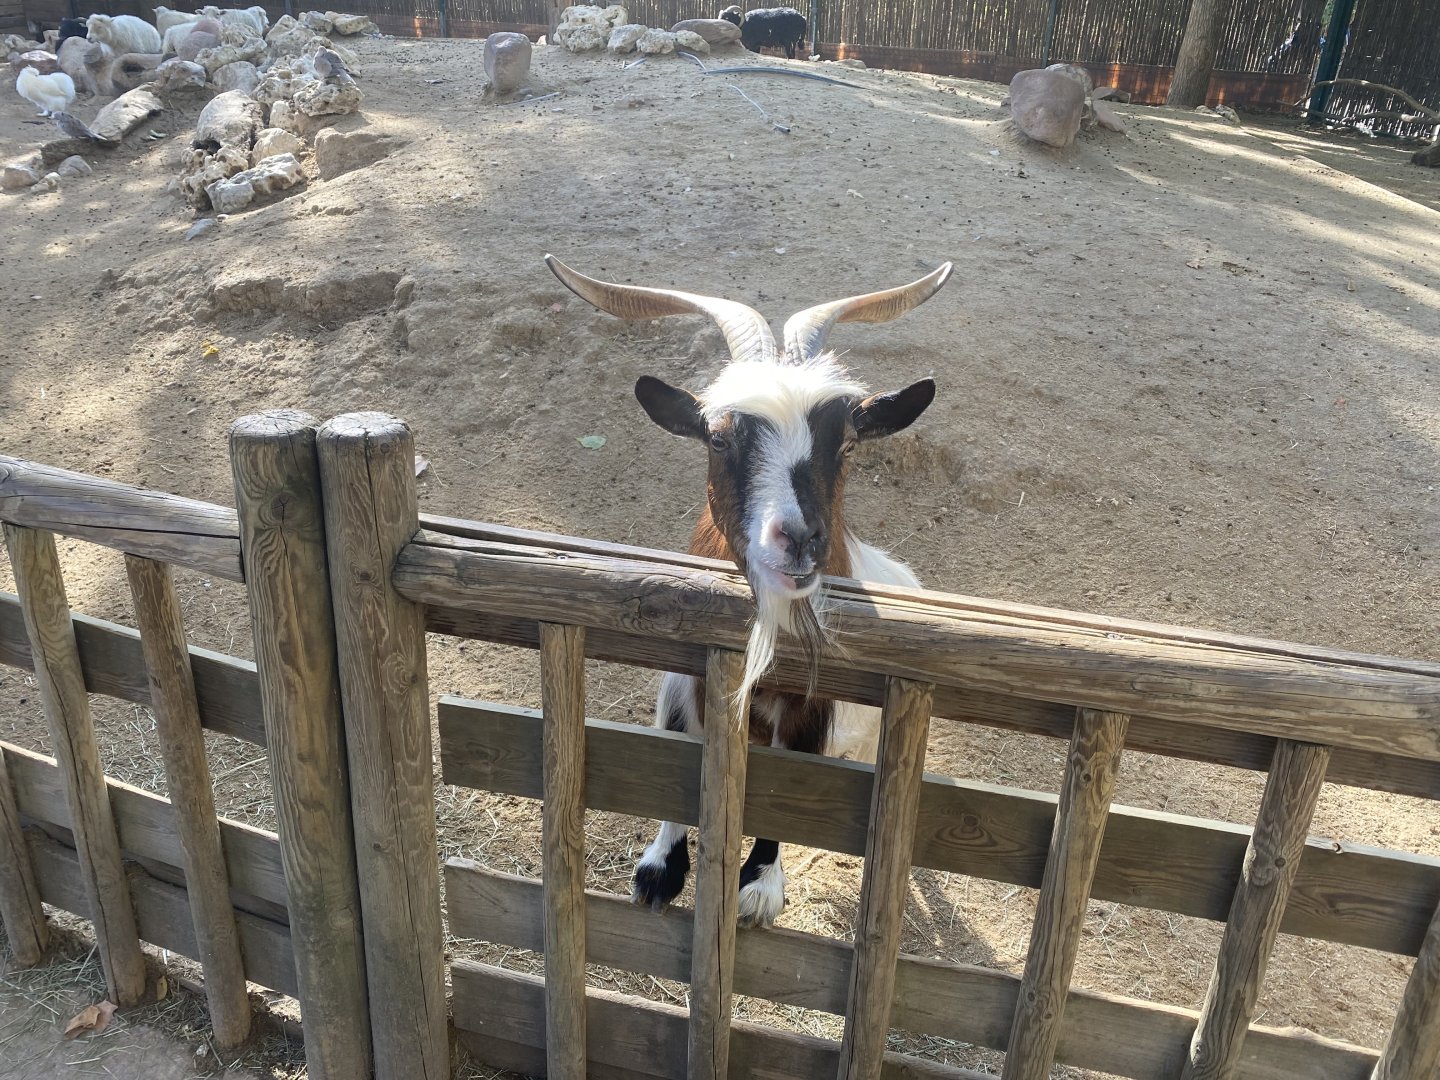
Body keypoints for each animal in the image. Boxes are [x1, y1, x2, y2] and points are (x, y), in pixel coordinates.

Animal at [545, 255, 952, 926]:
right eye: (718, 438)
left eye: (846, 442)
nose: (800, 538)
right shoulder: (687, 680)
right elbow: (680, 751)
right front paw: (659, 869)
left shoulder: (814, 711)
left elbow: (784, 788)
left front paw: (759, 886)